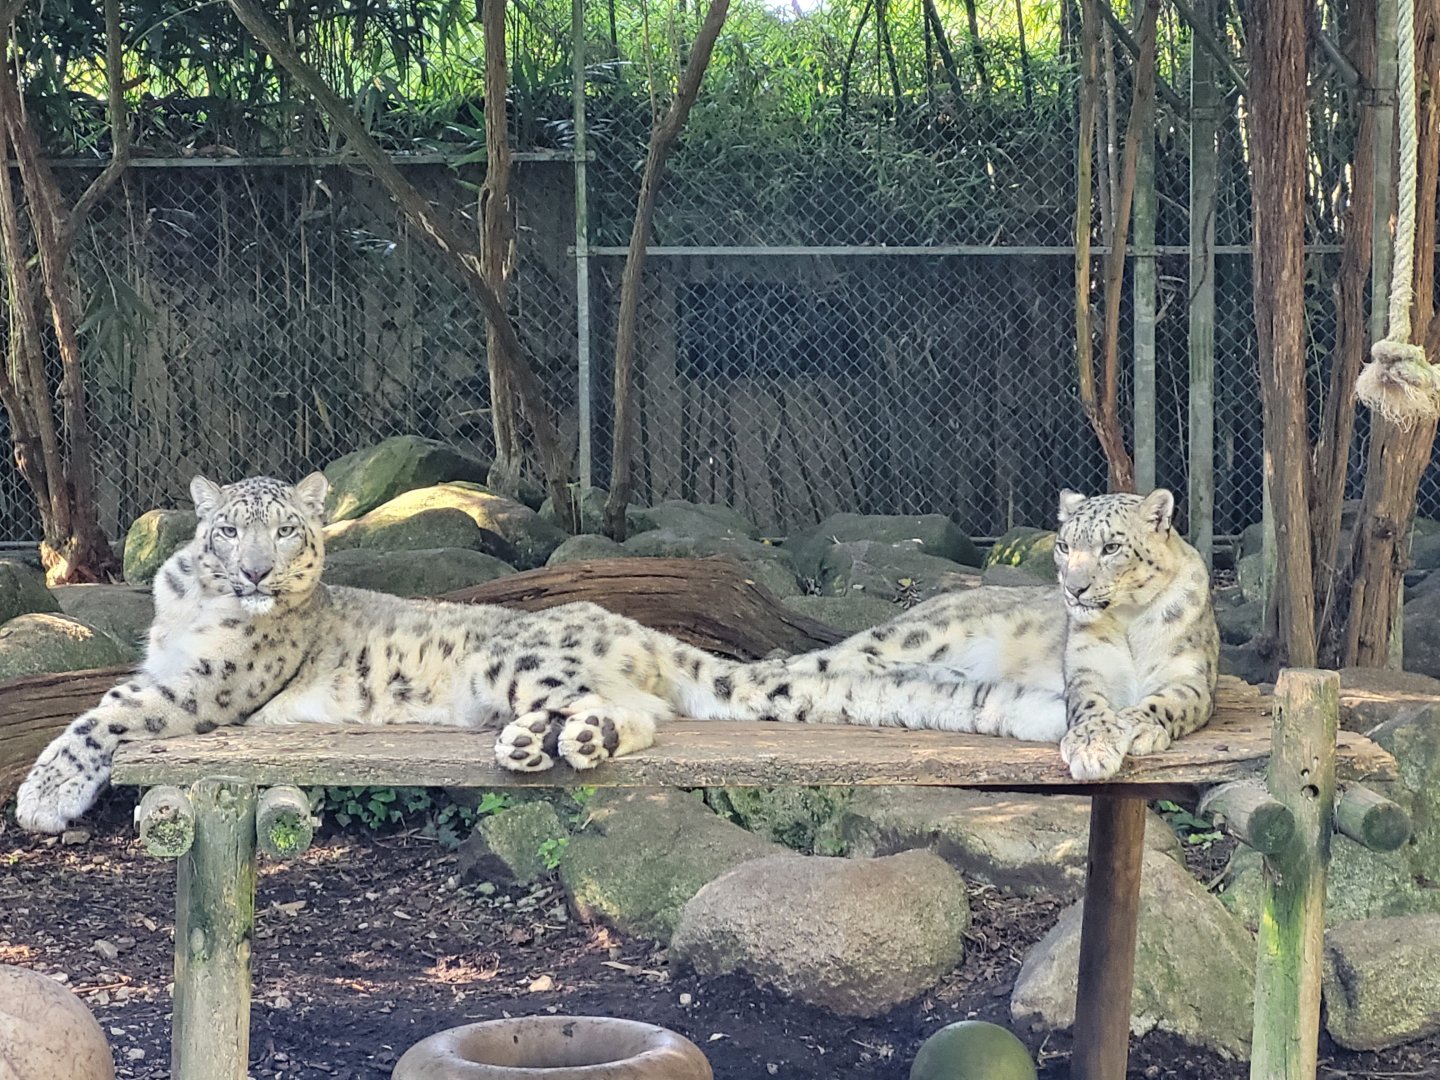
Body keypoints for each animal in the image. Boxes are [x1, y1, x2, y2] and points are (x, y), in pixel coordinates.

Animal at [14, 475, 1216, 835]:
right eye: (229, 530)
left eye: (289, 533)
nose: (259, 572)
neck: (184, 605)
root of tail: (626, 622)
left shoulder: (196, 685)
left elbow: (99, 713)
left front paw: (41, 796)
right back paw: (536, 747)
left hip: (525, 661)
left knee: (639, 716)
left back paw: (564, 741)